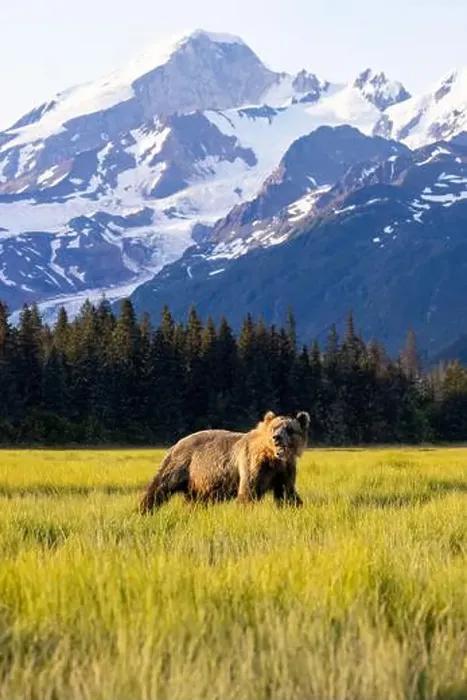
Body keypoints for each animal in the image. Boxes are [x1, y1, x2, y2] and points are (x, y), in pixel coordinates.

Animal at [139, 410, 310, 513]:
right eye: (274, 428)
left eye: (289, 429)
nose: (277, 438)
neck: (272, 458)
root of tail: (177, 443)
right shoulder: (252, 464)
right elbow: (248, 490)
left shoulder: (283, 470)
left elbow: (287, 492)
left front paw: (297, 507)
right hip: (182, 465)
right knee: (160, 486)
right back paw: (144, 509)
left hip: (198, 482)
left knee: (195, 500)